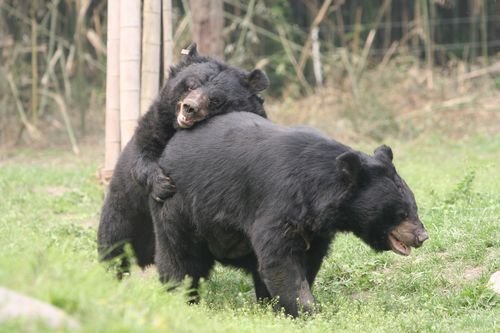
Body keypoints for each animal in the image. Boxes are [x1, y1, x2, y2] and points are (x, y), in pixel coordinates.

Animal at [97, 42, 270, 274]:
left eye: (215, 100)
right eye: (190, 86)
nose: (190, 108)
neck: (177, 129)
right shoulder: (155, 127)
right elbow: (143, 157)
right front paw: (163, 186)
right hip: (126, 206)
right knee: (114, 237)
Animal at [153, 111, 430, 316]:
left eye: (413, 208)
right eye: (400, 214)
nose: (422, 236)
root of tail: (171, 144)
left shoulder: (316, 229)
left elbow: (308, 260)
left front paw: (280, 306)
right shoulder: (279, 202)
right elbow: (281, 260)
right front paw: (308, 310)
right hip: (179, 206)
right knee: (180, 258)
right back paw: (180, 298)